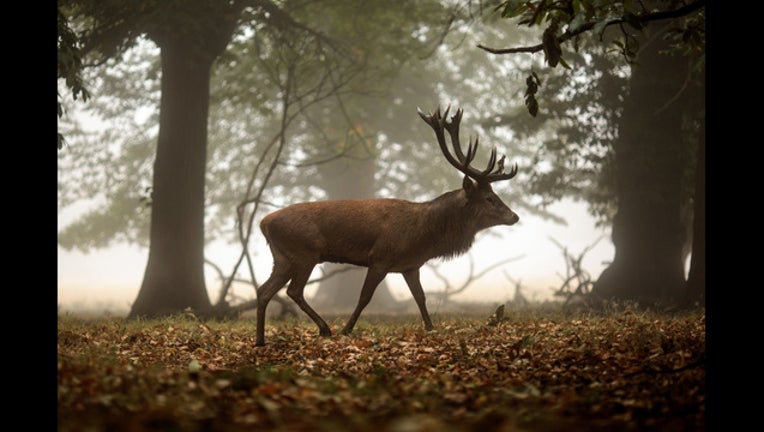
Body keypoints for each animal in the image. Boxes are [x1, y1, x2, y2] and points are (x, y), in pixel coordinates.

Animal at [254, 106, 524, 346]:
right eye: (489, 198)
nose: (514, 216)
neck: (423, 236)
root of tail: (263, 222)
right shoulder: (380, 257)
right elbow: (365, 297)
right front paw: (347, 329)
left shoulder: (410, 265)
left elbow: (421, 298)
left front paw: (430, 329)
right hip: (305, 252)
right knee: (294, 290)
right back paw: (325, 329)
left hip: (282, 257)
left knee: (264, 290)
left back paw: (260, 340)